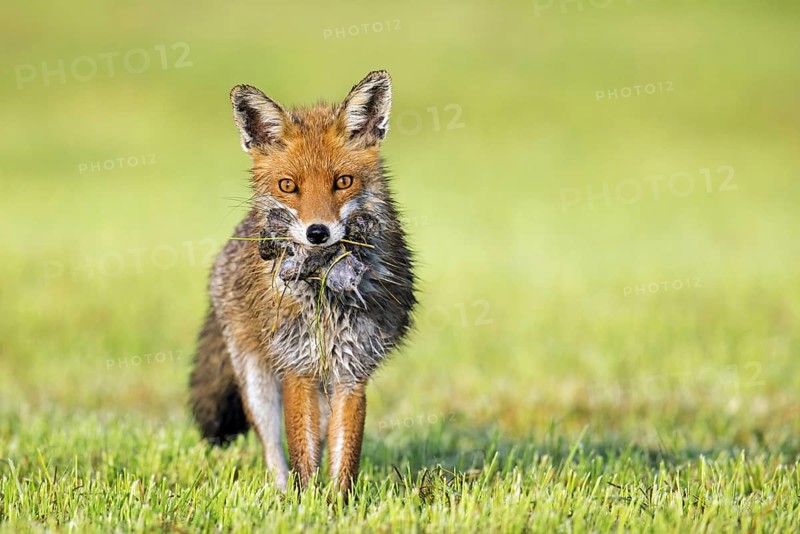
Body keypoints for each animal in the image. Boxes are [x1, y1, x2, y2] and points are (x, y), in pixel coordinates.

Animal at [189, 70, 416, 494]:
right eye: (288, 186)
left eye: (343, 182)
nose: (317, 233)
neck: (325, 297)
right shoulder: (298, 369)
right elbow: (302, 455)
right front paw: (304, 502)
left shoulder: (350, 373)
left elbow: (343, 459)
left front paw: (339, 504)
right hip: (257, 381)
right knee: (272, 450)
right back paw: (278, 494)